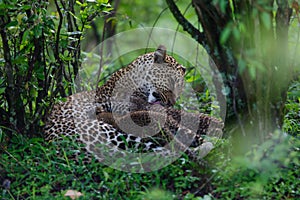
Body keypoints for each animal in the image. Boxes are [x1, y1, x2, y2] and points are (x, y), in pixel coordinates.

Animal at [44, 45, 223, 170]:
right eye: (172, 81)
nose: (172, 101)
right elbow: (183, 123)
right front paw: (214, 132)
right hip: (109, 132)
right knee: (162, 150)